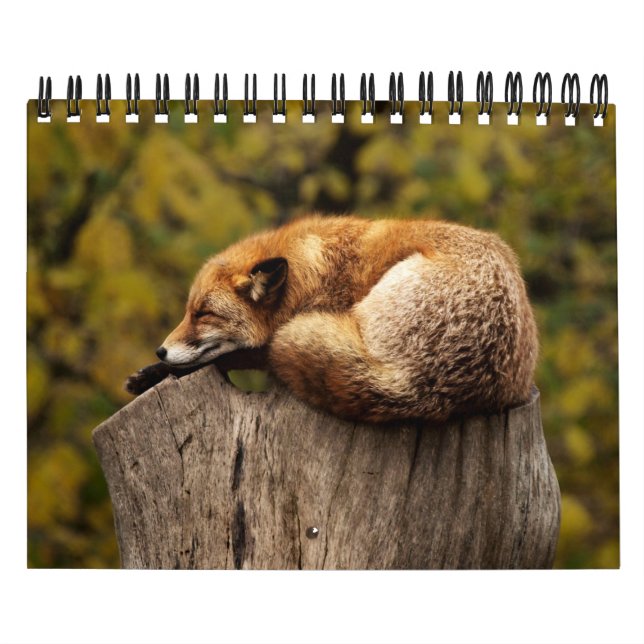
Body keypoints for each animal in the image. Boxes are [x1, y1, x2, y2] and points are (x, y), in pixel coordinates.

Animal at [126, 215, 538, 424]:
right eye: (188, 311)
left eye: (204, 314)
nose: (160, 350)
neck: (311, 275)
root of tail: (424, 388)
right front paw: (150, 373)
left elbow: (236, 355)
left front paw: (158, 372)